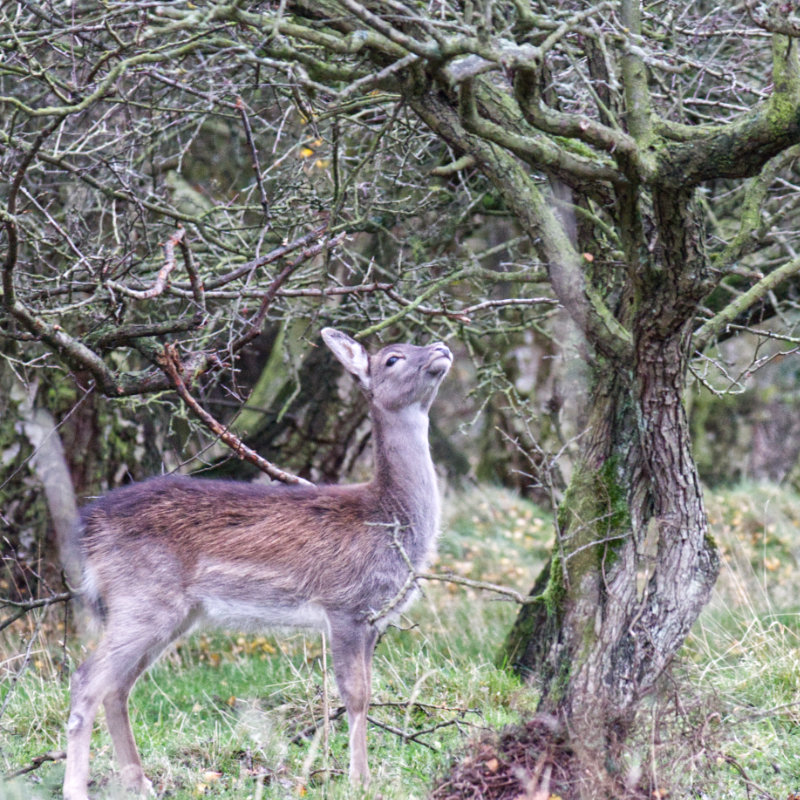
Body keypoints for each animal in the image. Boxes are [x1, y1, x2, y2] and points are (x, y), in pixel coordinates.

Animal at [62, 328, 450, 800]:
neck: (389, 519)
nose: (443, 349)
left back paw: (141, 783)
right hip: (143, 597)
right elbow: (355, 695)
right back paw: (77, 788)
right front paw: (359, 781)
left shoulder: (376, 617)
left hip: (171, 612)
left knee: (116, 687)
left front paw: (364, 776)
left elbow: (368, 691)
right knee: (86, 680)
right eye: (393, 358)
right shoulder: (344, 604)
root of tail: (89, 527)